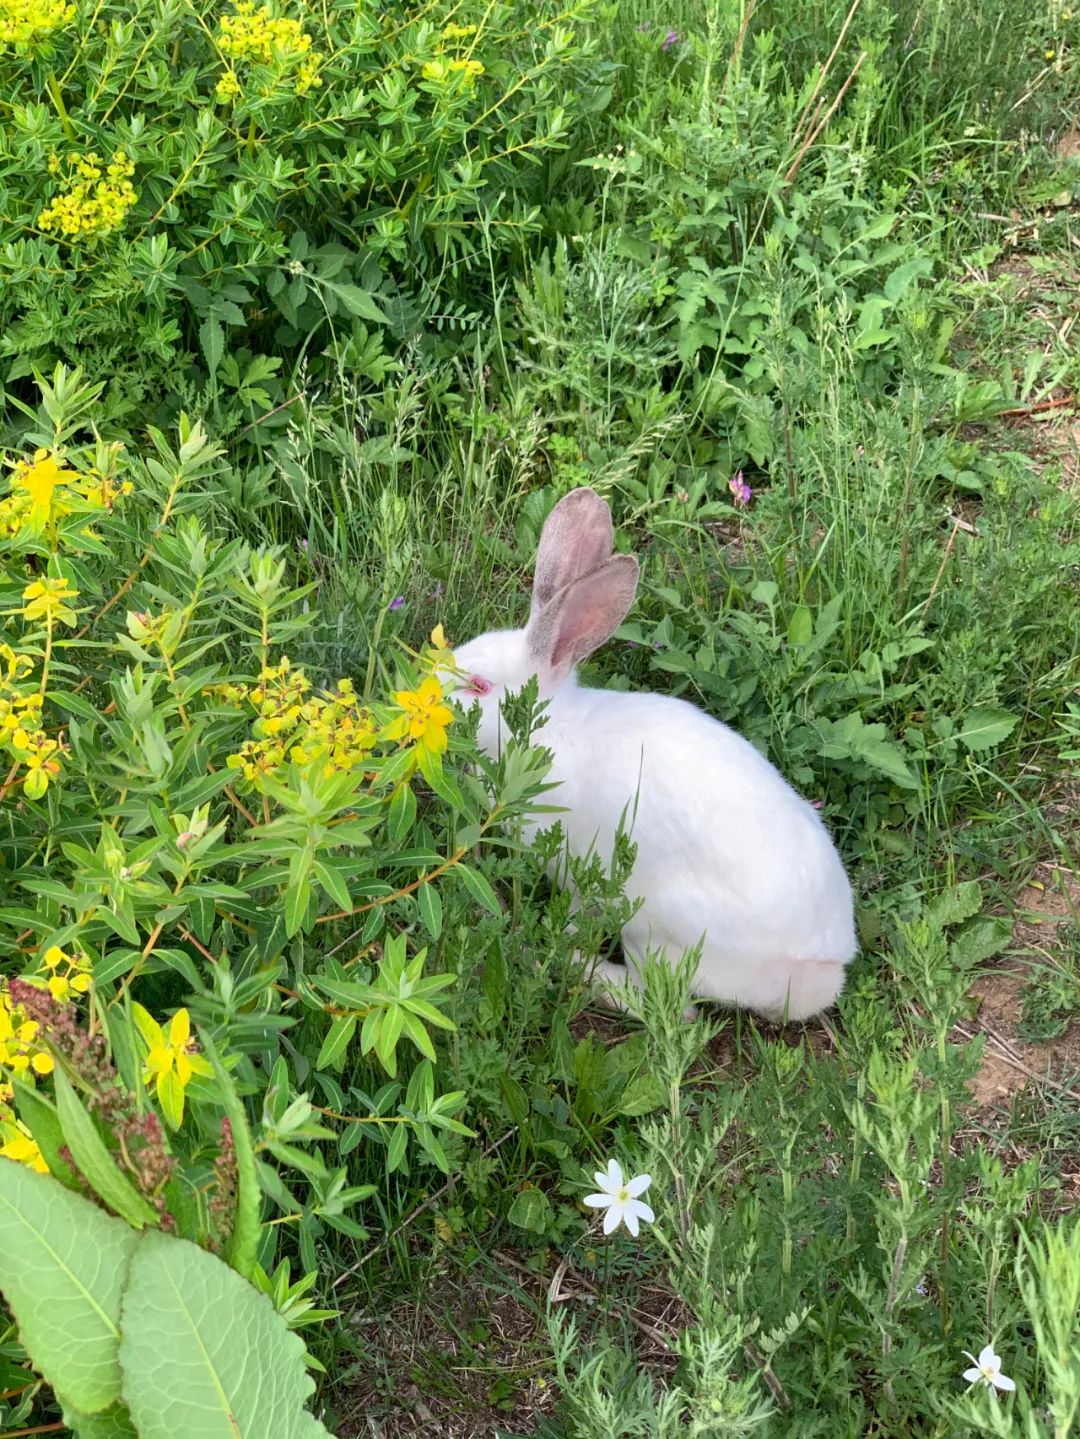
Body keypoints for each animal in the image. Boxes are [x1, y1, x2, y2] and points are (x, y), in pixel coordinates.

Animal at [451, 489, 857, 1018]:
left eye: (478, 686)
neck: (550, 730)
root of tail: (821, 975)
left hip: (654, 930)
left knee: (668, 1006)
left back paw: (577, 969)